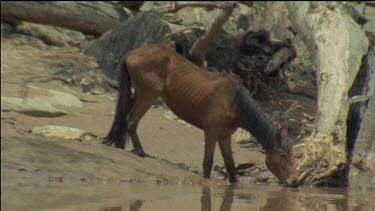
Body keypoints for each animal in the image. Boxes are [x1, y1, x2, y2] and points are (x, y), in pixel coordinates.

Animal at [103, 44, 300, 186]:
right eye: (283, 155)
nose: (295, 181)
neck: (234, 103)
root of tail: (134, 52)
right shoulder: (211, 133)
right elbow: (208, 163)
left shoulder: (224, 137)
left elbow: (230, 166)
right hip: (148, 94)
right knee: (131, 120)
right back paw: (140, 152)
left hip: (139, 93)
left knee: (125, 118)